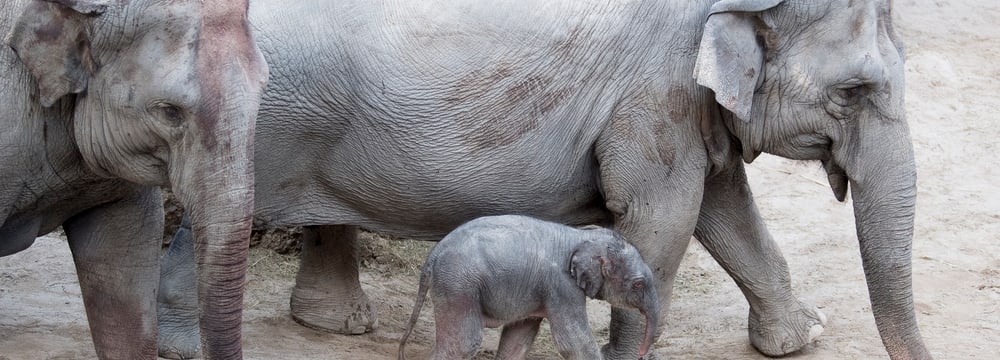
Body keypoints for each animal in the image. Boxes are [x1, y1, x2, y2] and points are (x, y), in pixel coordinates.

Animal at [398, 215, 664, 358]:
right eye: (638, 284)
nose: (643, 354)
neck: (579, 236)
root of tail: (433, 255)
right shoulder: (562, 286)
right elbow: (573, 341)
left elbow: (519, 337)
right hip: (459, 286)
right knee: (463, 344)